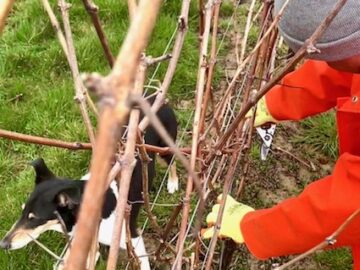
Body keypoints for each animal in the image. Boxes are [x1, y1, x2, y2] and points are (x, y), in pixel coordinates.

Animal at [0, 98, 179, 268]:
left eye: (34, 218)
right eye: (22, 211)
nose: (3, 244)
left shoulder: (134, 238)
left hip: (165, 146)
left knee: (173, 161)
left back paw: (173, 182)